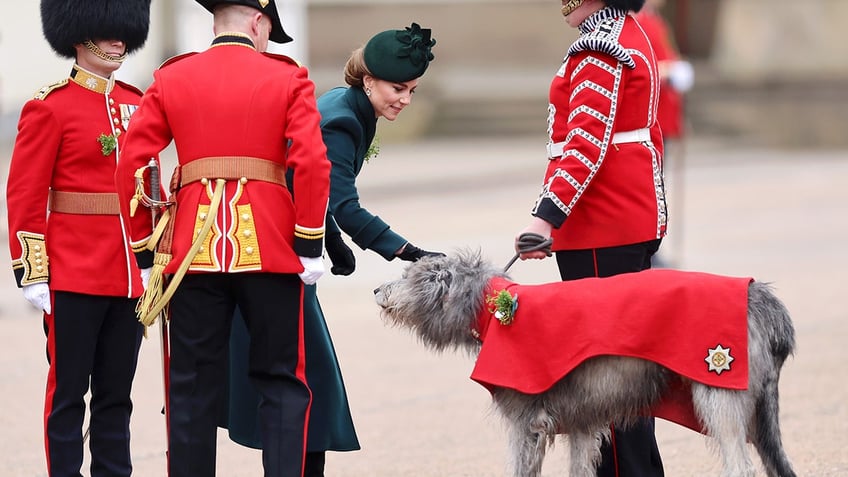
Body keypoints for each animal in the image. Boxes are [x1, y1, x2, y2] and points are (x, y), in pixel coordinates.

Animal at [372, 247, 796, 474]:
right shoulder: (581, 419)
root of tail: (760, 297)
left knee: (740, 465)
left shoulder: (527, 420)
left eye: (409, 276)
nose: (376, 289)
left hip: (719, 389)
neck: (496, 309)